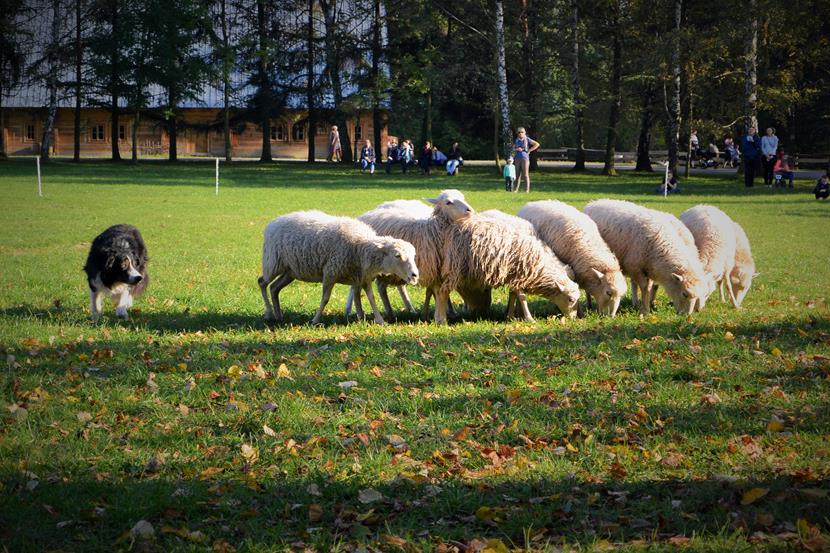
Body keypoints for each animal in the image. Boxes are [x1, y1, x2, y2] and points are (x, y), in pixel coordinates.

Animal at [256, 210, 420, 324]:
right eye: (397, 255)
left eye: (414, 255)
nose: (415, 275)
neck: (360, 248)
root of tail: (274, 222)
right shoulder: (330, 272)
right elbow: (325, 298)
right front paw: (315, 320)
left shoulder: (362, 277)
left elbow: (368, 298)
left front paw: (373, 319)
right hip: (272, 263)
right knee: (262, 282)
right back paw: (269, 314)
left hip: (290, 271)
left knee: (274, 288)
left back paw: (279, 316)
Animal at [346, 189, 478, 320]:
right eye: (448, 202)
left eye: (463, 197)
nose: (470, 210)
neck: (433, 229)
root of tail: (367, 214)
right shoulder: (429, 268)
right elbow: (435, 291)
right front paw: (439, 312)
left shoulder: (438, 268)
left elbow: (439, 290)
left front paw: (449, 311)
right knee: (367, 286)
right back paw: (354, 310)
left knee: (392, 286)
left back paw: (407, 309)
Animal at [438, 212, 580, 324]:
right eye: (570, 299)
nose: (573, 318)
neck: (539, 268)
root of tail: (455, 226)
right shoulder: (520, 274)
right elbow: (521, 297)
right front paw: (529, 318)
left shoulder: (514, 276)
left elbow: (513, 295)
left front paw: (510, 316)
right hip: (456, 266)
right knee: (443, 291)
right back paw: (441, 319)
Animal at [584, 199, 716, 314]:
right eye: (685, 294)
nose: (687, 315)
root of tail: (595, 202)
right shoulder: (637, 267)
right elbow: (645, 287)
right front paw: (645, 309)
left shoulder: (652, 267)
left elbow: (652, 286)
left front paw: (650, 305)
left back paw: (635, 303)